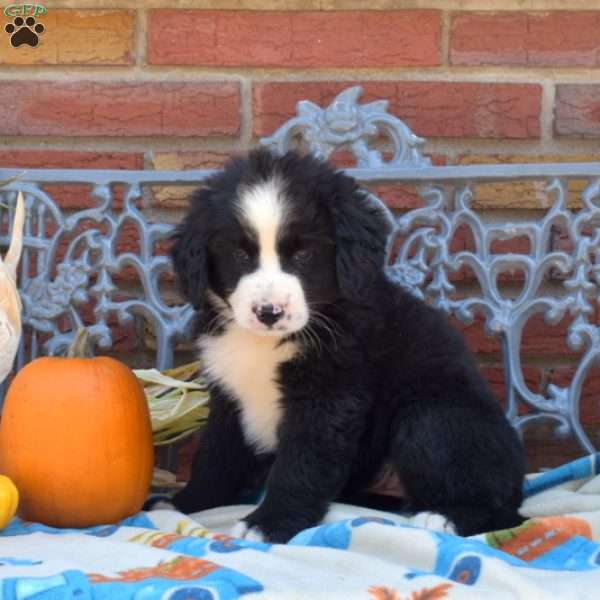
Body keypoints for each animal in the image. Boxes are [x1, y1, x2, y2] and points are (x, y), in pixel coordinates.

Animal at [165, 149, 524, 544]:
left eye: (303, 254)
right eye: (240, 255)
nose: (269, 312)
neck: (267, 343)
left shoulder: (328, 397)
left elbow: (298, 466)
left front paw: (269, 522)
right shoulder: (230, 394)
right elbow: (215, 457)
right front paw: (186, 504)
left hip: (435, 418)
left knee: (500, 507)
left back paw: (443, 517)